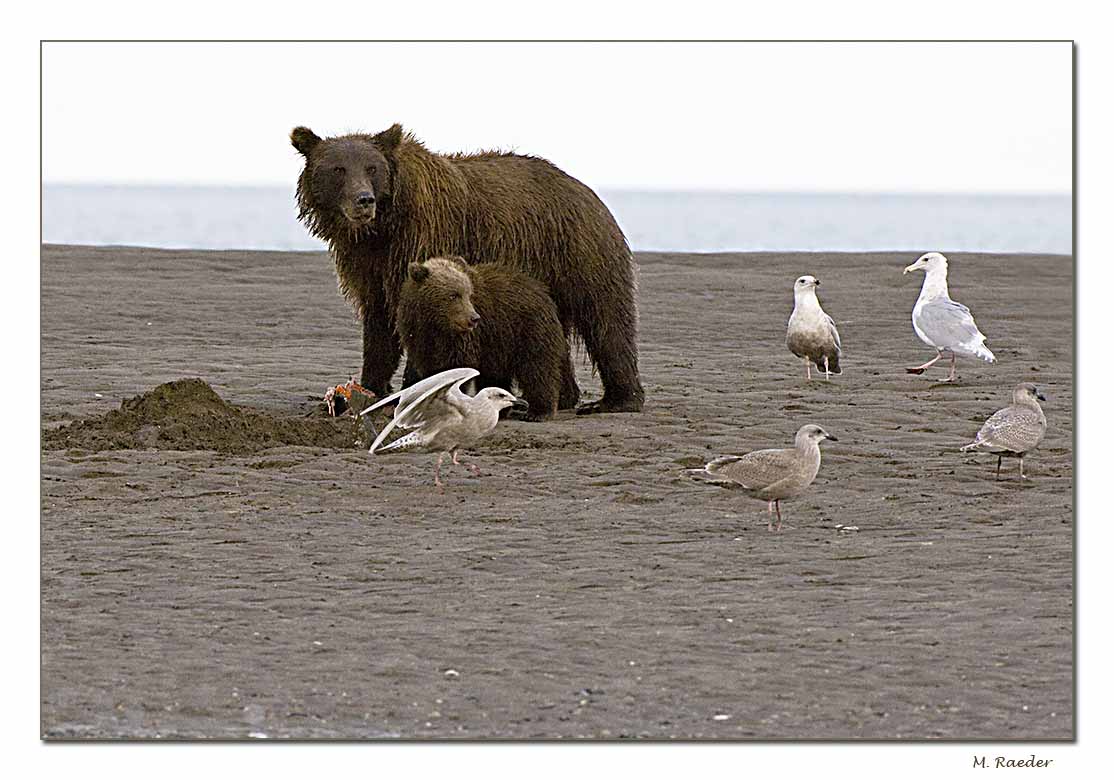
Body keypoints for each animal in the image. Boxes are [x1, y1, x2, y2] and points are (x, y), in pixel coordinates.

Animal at [396, 257, 570, 421]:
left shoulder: (463, 341)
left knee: (537, 368)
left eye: (468, 294)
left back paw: (538, 412)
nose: (473, 318)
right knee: (496, 375)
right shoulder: (420, 338)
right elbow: (431, 370)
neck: (436, 324)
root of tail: (541, 289)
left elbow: (457, 366)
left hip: (527, 330)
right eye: (453, 295)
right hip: (498, 344)